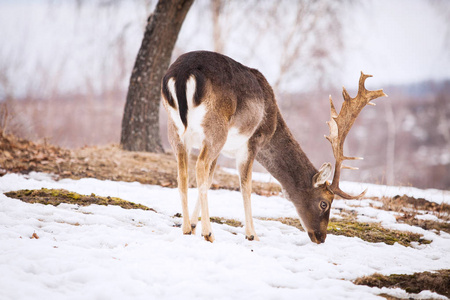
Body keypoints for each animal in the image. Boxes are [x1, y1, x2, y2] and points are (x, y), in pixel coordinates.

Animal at [160, 50, 384, 244]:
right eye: (324, 203)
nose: (321, 237)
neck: (273, 123)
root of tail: (182, 74)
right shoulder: (252, 141)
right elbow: (245, 185)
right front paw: (252, 235)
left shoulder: (223, 149)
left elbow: (209, 180)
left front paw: (194, 224)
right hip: (216, 129)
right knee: (199, 166)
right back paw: (209, 233)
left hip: (176, 131)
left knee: (182, 173)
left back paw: (186, 228)